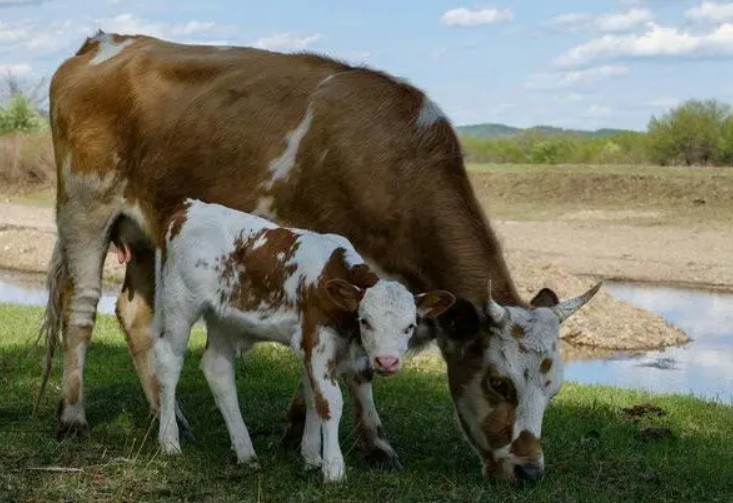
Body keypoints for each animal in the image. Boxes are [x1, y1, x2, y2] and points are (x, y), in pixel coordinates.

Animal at [152, 199, 454, 482]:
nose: (387, 361)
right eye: (365, 320)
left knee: (218, 370)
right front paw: (334, 468)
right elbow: (329, 401)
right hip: (180, 305)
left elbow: (312, 398)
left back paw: (245, 451)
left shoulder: (310, 348)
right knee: (168, 362)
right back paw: (170, 441)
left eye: (410, 326)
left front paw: (312, 457)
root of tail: (190, 207)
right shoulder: (317, 342)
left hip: (223, 318)